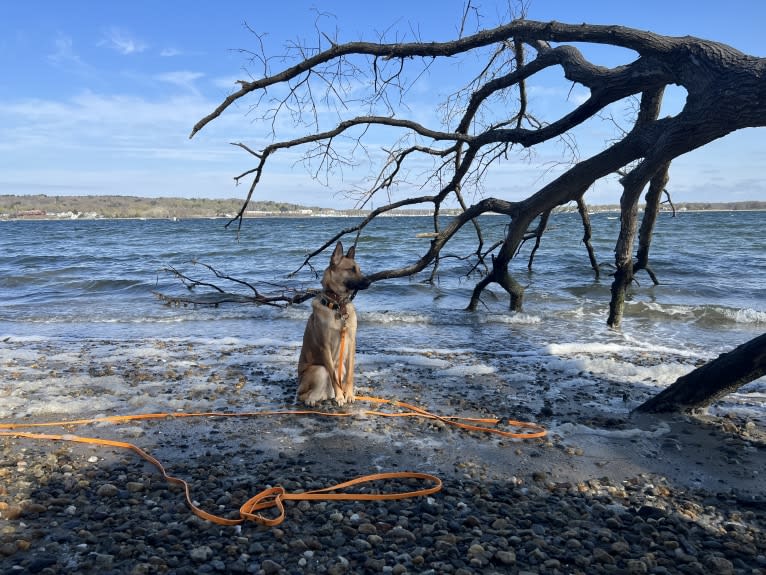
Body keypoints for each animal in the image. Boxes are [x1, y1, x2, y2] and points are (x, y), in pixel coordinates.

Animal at [296, 241, 372, 408]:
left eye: (359, 269)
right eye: (351, 269)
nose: (369, 281)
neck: (338, 304)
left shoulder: (351, 343)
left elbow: (350, 374)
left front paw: (348, 394)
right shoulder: (325, 347)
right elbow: (333, 376)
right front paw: (340, 396)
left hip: (340, 367)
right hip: (318, 370)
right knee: (303, 395)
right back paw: (314, 400)